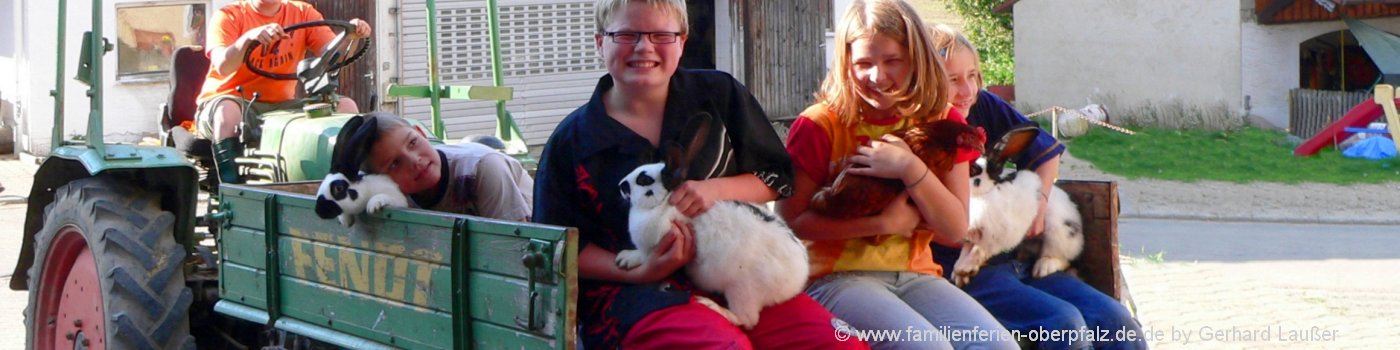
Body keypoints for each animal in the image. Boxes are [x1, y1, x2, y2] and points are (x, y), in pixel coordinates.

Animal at [616, 113, 812, 329]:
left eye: (644, 180)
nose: (620, 185)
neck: (664, 203)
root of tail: (797, 280)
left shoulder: (655, 245)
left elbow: (644, 256)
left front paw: (625, 259)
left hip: (742, 289)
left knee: (746, 319)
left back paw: (711, 305)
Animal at [952, 123, 1080, 287]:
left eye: (972, 169)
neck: (982, 195)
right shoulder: (971, 237)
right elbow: (965, 251)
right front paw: (959, 273)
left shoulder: (996, 236)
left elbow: (979, 250)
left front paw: (966, 269)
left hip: (1059, 235)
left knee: (1063, 259)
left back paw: (1042, 268)